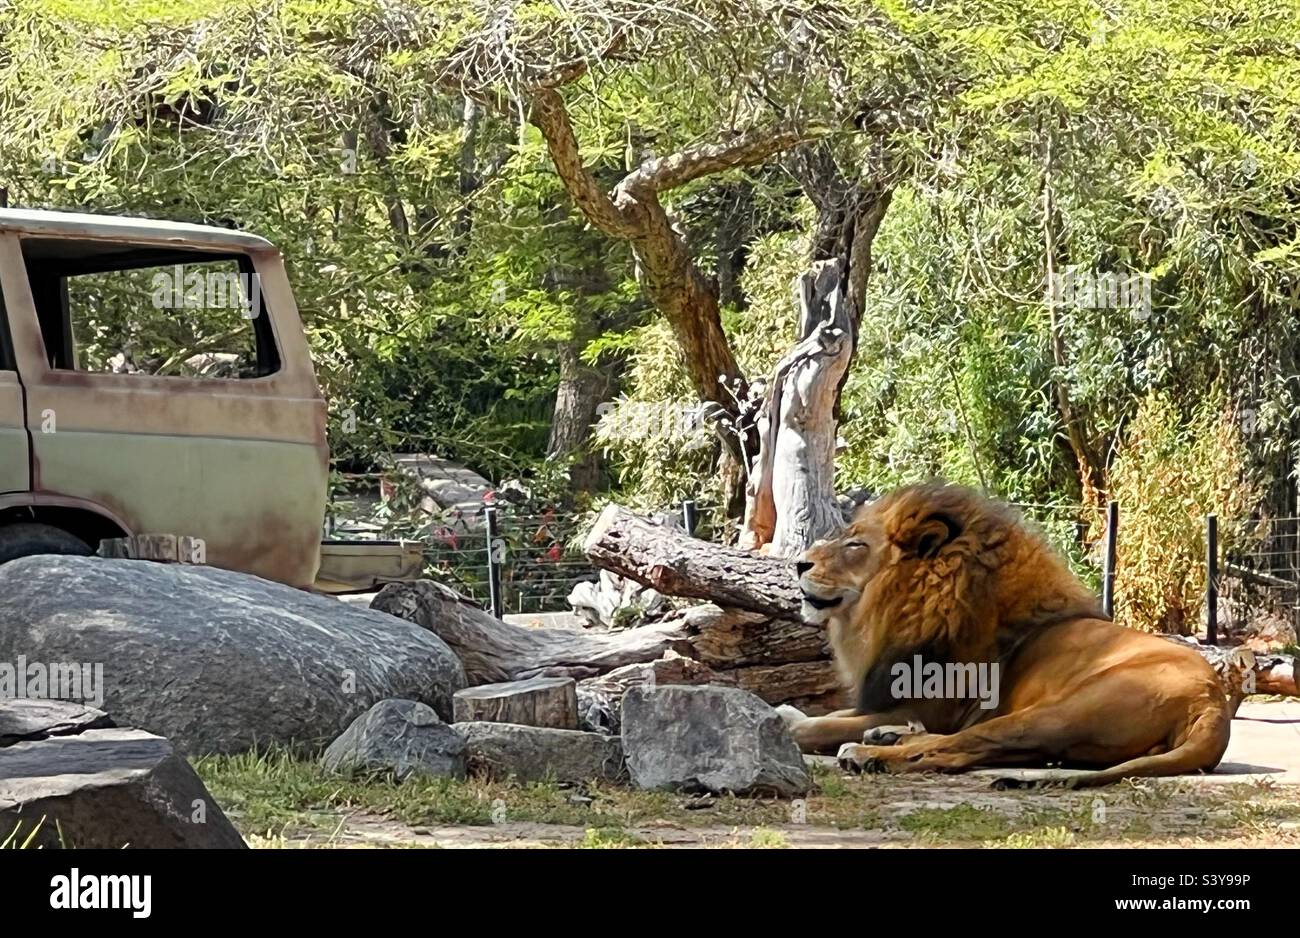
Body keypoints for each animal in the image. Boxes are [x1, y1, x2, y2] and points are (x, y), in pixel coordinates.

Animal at [781, 483, 1232, 787]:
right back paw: (888, 737)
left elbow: (822, 727)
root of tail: (1211, 704)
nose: (799, 563)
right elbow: (834, 715)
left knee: (958, 750)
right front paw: (791, 712)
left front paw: (797, 726)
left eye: (855, 545)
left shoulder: (927, 707)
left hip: (1055, 713)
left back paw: (869, 753)